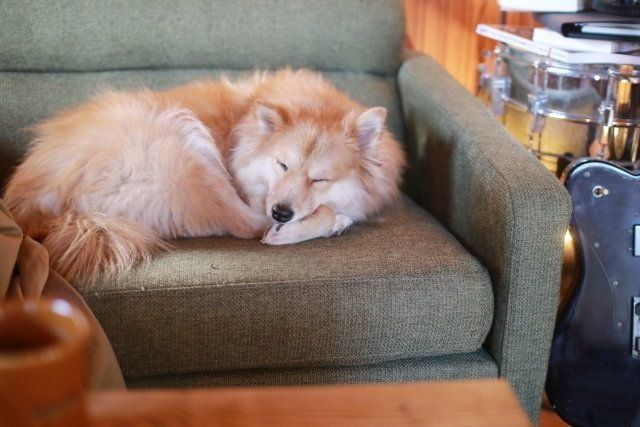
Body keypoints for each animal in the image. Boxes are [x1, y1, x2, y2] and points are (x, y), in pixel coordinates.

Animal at [3, 69, 406, 284]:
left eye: (319, 179)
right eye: (283, 165)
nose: (281, 212)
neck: (244, 127)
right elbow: (319, 212)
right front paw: (318, 223)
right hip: (183, 144)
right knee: (245, 224)